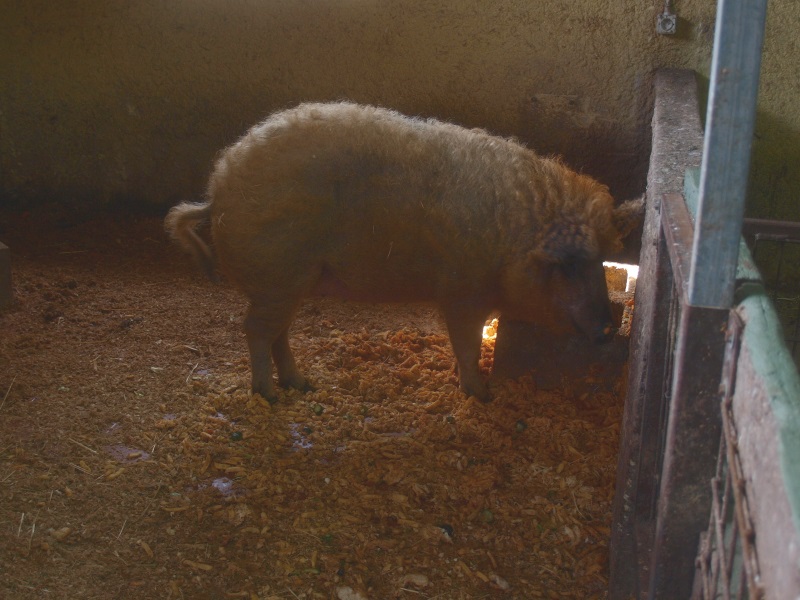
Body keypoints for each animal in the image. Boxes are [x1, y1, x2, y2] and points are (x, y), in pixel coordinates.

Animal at [165, 102, 643, 403]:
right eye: (570, 267)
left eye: (601, 262)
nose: (606, 330)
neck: (513, 236)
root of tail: (217, 193)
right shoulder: (461, 292)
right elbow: (467, 344)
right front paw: (481, 395)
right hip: (277, 275)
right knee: (255, 331)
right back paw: (268, 395)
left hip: (288, 283)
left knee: (276, 333)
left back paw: (302, 386)